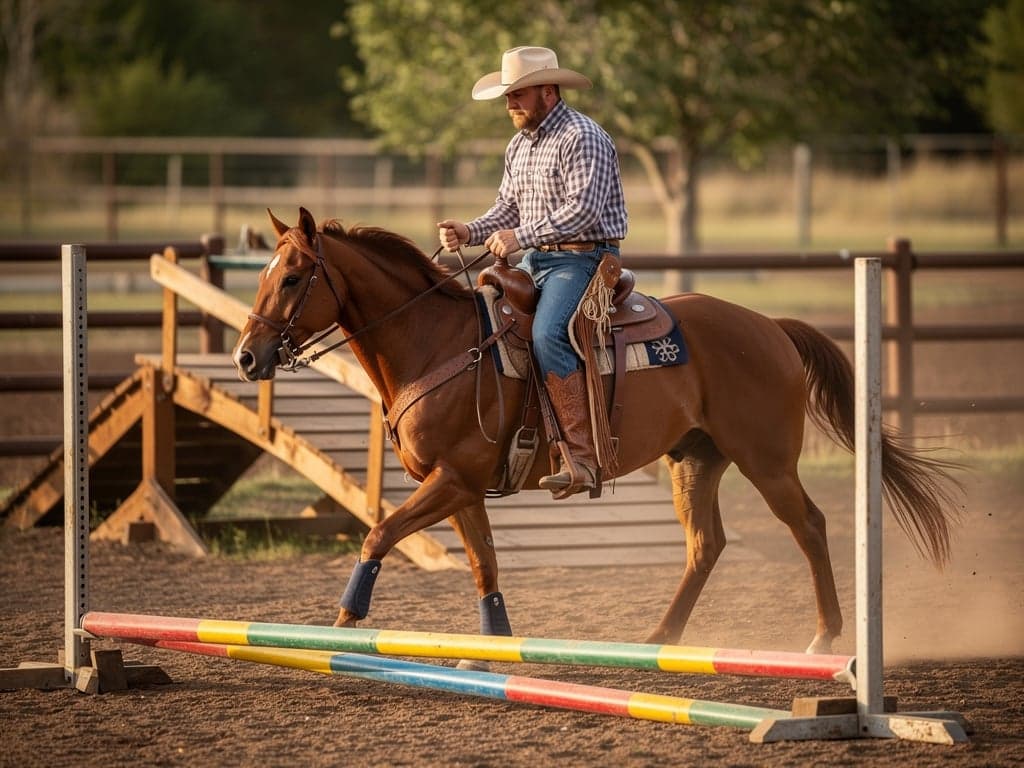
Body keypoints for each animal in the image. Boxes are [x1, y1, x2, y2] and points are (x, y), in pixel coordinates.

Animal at [232, 207, 959, 655]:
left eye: (292, 277)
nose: (246, 358)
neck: (438, 344)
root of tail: (770, 327)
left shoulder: (452, 480)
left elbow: (379, 534)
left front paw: (343, 625)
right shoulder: (461, 488)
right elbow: (484, 564)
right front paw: (490, 652)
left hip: (767, 460)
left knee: (808, 525)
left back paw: (823, 638)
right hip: (694, 459)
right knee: (706, 545)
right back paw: (659, 639)